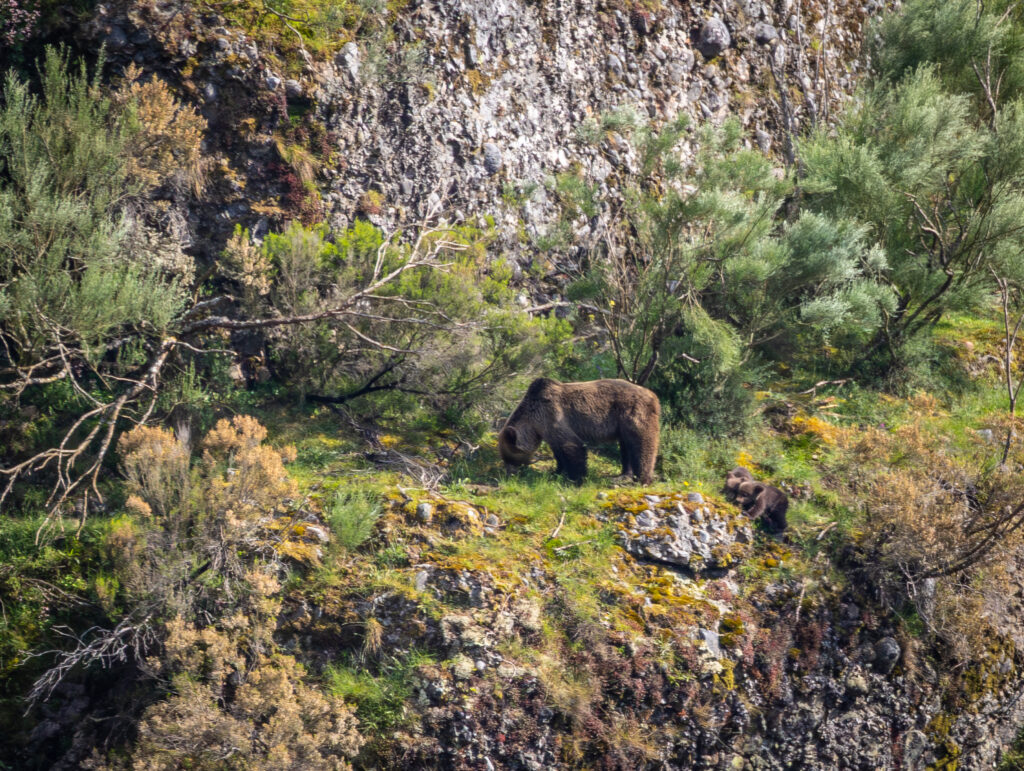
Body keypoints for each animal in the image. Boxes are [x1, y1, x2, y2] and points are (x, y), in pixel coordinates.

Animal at [498, 377, 660, 485]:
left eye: (509, 457)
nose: (509, 474)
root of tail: (653, 395)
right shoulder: (548, 430)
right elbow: (558, 451)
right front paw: (556, 471)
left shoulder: (553, 416)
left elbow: (573, 446)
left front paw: (576, 479)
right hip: (622, 425)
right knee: (626, 446)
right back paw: (623, 475)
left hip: (633, 413)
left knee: (642, 444)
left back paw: (642, 479)